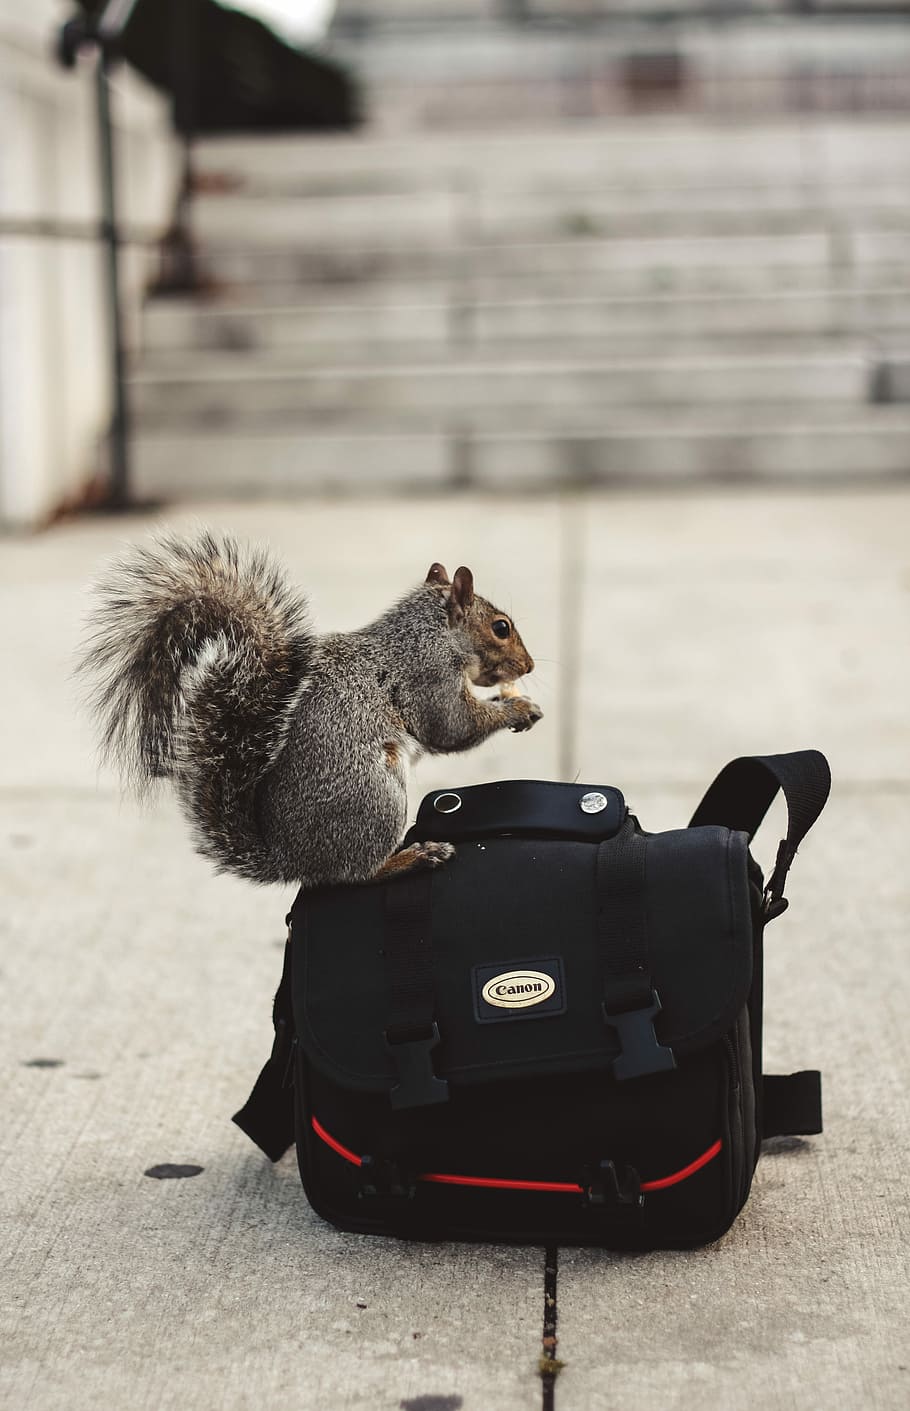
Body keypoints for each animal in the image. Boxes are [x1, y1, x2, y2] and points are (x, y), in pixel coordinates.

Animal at [78, 530, 543, 889]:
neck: (429, 633)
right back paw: (413, 857)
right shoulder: (428, 679)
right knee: (353, 874)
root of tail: (291, 860)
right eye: (501, 628)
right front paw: (517, 710)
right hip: (376, 795)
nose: (530, 666)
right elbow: (452, 728)